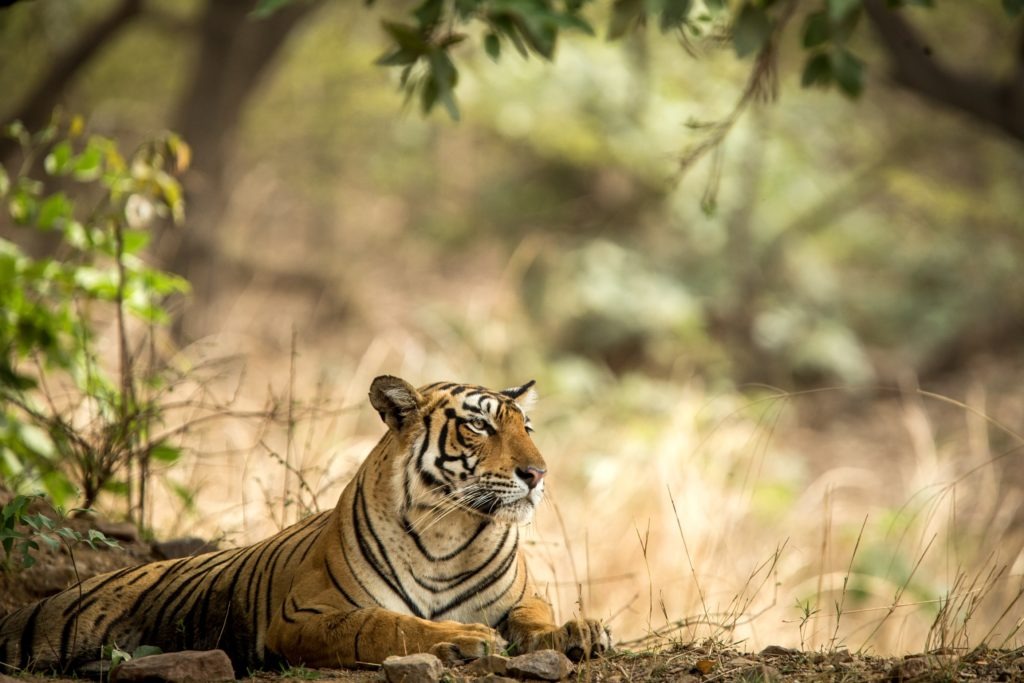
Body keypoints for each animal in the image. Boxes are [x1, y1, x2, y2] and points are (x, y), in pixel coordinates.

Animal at [0, 376, 606, 675]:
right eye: (480, 426)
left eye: (527, 427)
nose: (538, 473)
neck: (448, 532)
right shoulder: (306, 615)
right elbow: (387, 625)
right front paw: (463, 640)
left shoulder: (520, 599)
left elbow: (535, 617)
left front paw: (579, 631)